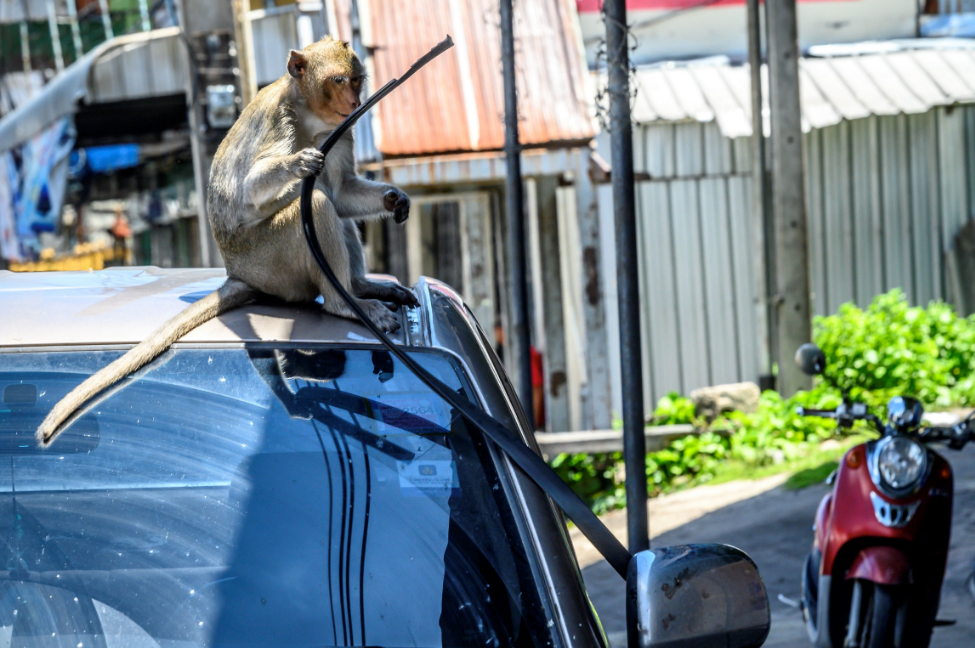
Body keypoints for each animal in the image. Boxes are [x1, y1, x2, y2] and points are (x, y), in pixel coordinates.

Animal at [36, 38, 418, 448]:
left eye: (357, 80)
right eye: (339, 80)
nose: (355, 99)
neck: (308, 114)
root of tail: (237, 273)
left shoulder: (341, 130)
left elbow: (344, 192)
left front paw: (394, 198)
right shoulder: (281, 124)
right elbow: (252, 189)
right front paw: (297, 164)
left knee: (328, 204)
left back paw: (360, 287)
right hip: (268, 261)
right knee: (315, 204)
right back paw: (343, 303)